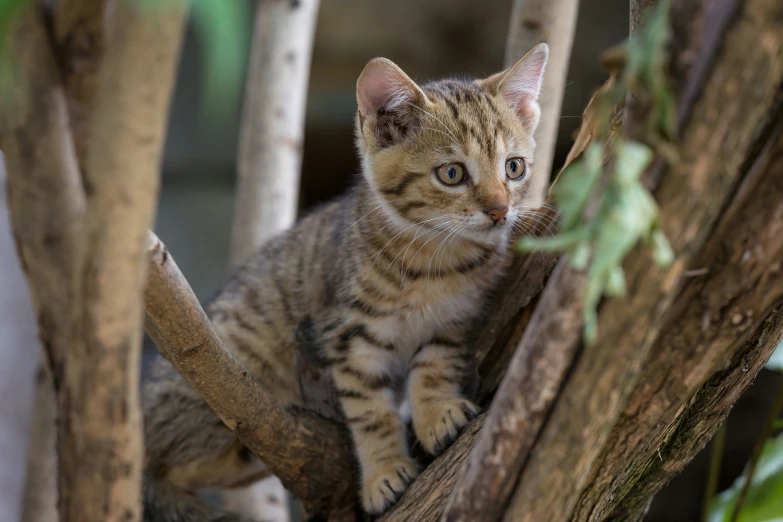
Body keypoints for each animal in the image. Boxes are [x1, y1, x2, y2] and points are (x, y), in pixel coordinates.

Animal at [145, 42, 552, 516]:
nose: (500, 211)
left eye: (514, 168)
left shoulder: (453, 320)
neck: (436, 260)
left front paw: (437, 412)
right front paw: (383, 473)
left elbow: (433, 367)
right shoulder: (349, 337)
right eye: (452, 173)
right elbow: (370, 412)